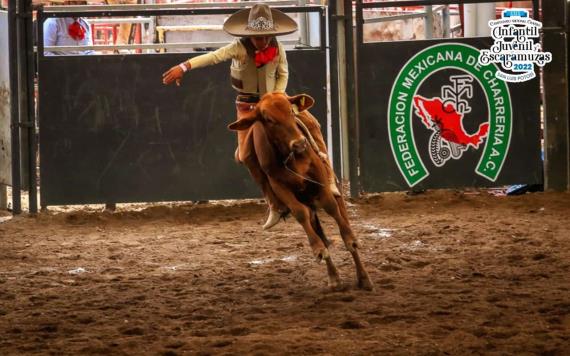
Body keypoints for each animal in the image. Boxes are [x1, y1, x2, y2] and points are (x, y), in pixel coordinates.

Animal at [226, 92, 372, 292]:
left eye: (290, 111)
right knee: (314, 225)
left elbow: (330, 207)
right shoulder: (280, 187)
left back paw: (363, 276)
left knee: (341, 213)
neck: (292, 157)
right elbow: (300, 213)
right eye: (269, 119)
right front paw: (318, 249)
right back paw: (333, 277)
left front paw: (350, 239)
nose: (300, 143)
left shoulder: (320, 182)